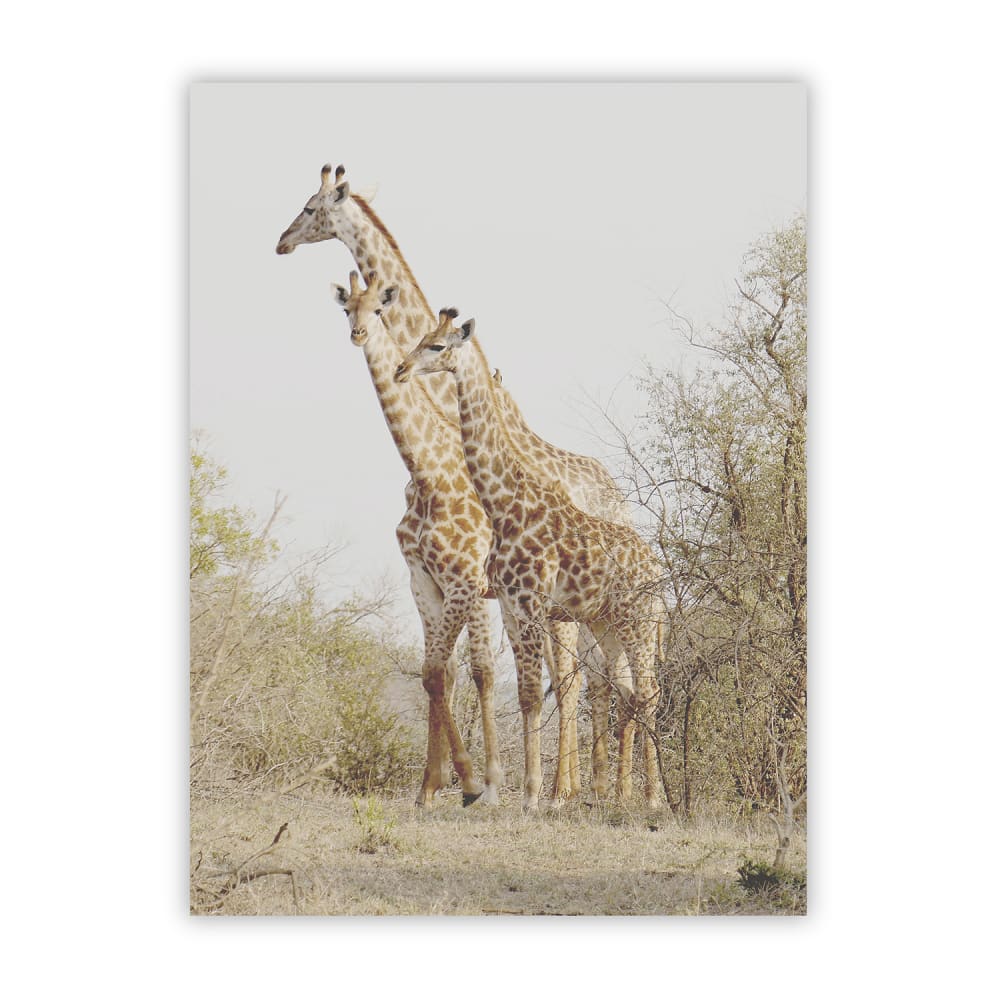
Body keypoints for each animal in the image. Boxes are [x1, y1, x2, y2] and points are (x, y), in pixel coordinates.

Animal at [276, 164, 630, 801]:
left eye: (313, 207)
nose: (281, 242)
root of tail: (619, 497)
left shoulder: (472, 577)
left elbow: (476, 672)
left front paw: (482, 783)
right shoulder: (451, 582)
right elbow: (453, 673)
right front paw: (455, 783)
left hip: (572, 606)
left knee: (577, 680)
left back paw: (568, 789)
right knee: (581, 679)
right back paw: (577, 785)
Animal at [395, 312, 665, 813]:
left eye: (438, 346)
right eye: (421, 338)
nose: (402, 368)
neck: (505, 501)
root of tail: (660, 575)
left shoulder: (531, 600)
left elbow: (535, 694)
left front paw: (533, 796)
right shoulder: (509, 601)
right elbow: (524, 694)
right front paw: (525, 791)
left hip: (637, 623)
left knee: (648, 692)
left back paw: (653, 798)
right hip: (608, 624)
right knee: (630, 692)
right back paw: (622, 796)